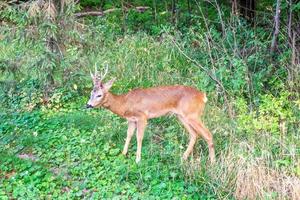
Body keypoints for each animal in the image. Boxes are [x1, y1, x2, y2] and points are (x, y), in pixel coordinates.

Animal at [86, 67, 216, 164]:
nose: (88, 105)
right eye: (91, 93)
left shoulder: (142, 117)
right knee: (194, 134)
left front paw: (138, 159)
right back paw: (183, 158)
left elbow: (139, 137)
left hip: (193, 115)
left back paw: (212, 163)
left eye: (99, 95)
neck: (124, 103)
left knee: (208, 134)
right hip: (181, 116)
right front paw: (123, 154)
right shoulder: (131, 120)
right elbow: (128, 135)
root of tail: (203, 96)